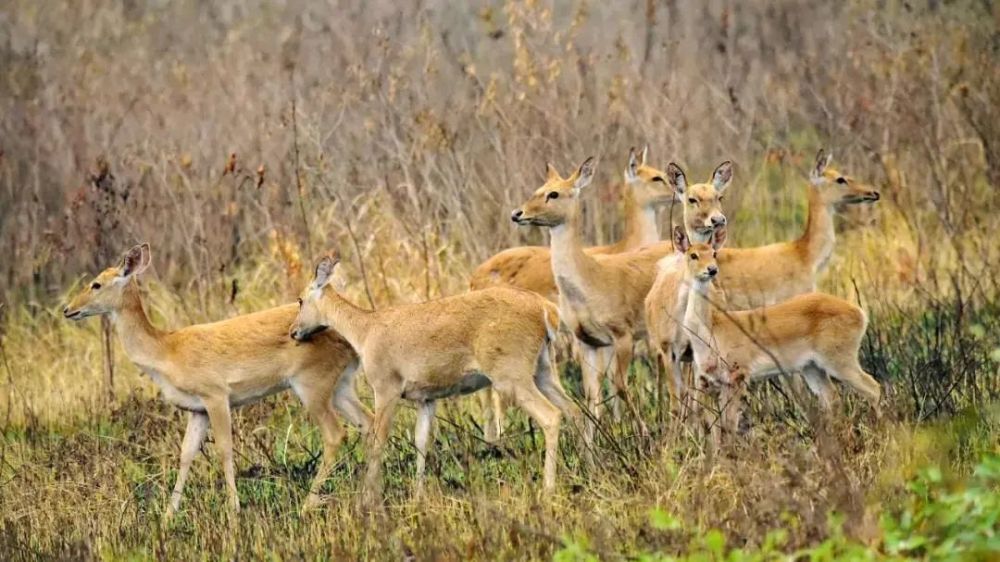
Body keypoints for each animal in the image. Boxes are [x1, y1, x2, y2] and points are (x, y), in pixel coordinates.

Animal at [61, 244, 372, 516]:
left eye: (96, 284)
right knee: (367, 422)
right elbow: (186, 454)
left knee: (335, 434)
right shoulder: (197, 409)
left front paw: (233, 509)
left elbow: (224, 448)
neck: (166, 352)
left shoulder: (216, 394)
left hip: (312, 382)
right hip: (341, 384)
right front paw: (168, 515)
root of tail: (347, 338)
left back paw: (308, 505)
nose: (67, 309)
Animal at [292, 252, 580, 496]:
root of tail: (546, 310)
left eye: (301, 300)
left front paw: (368, 497)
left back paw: (548, 489)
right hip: (544, 369)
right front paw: (418, 496)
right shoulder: (426, 398)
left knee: (551, 416)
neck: (365, 331)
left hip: (511, 375)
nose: (294, 332)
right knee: (573, 410)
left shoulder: (386, 387)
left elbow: (378, 439)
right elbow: (421, 440)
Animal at [516, 156, 736, 450]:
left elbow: (620, 386)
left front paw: (644, 435)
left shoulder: (623, 335)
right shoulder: (587, 341)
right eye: (539, 189)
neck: (589, 280)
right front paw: (592, 445)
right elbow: (592, 394)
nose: (518, 213)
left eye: (554, 193)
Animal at [680, 226, 884, 434]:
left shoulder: (738, 376)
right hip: (812, 367)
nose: (711, 270)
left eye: (713, 253)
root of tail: (860, 313)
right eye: (693, 255)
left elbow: (729, 425)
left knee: (873, 388)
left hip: (839, 360)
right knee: (832, 398)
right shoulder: (714, 382)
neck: (711, 327)